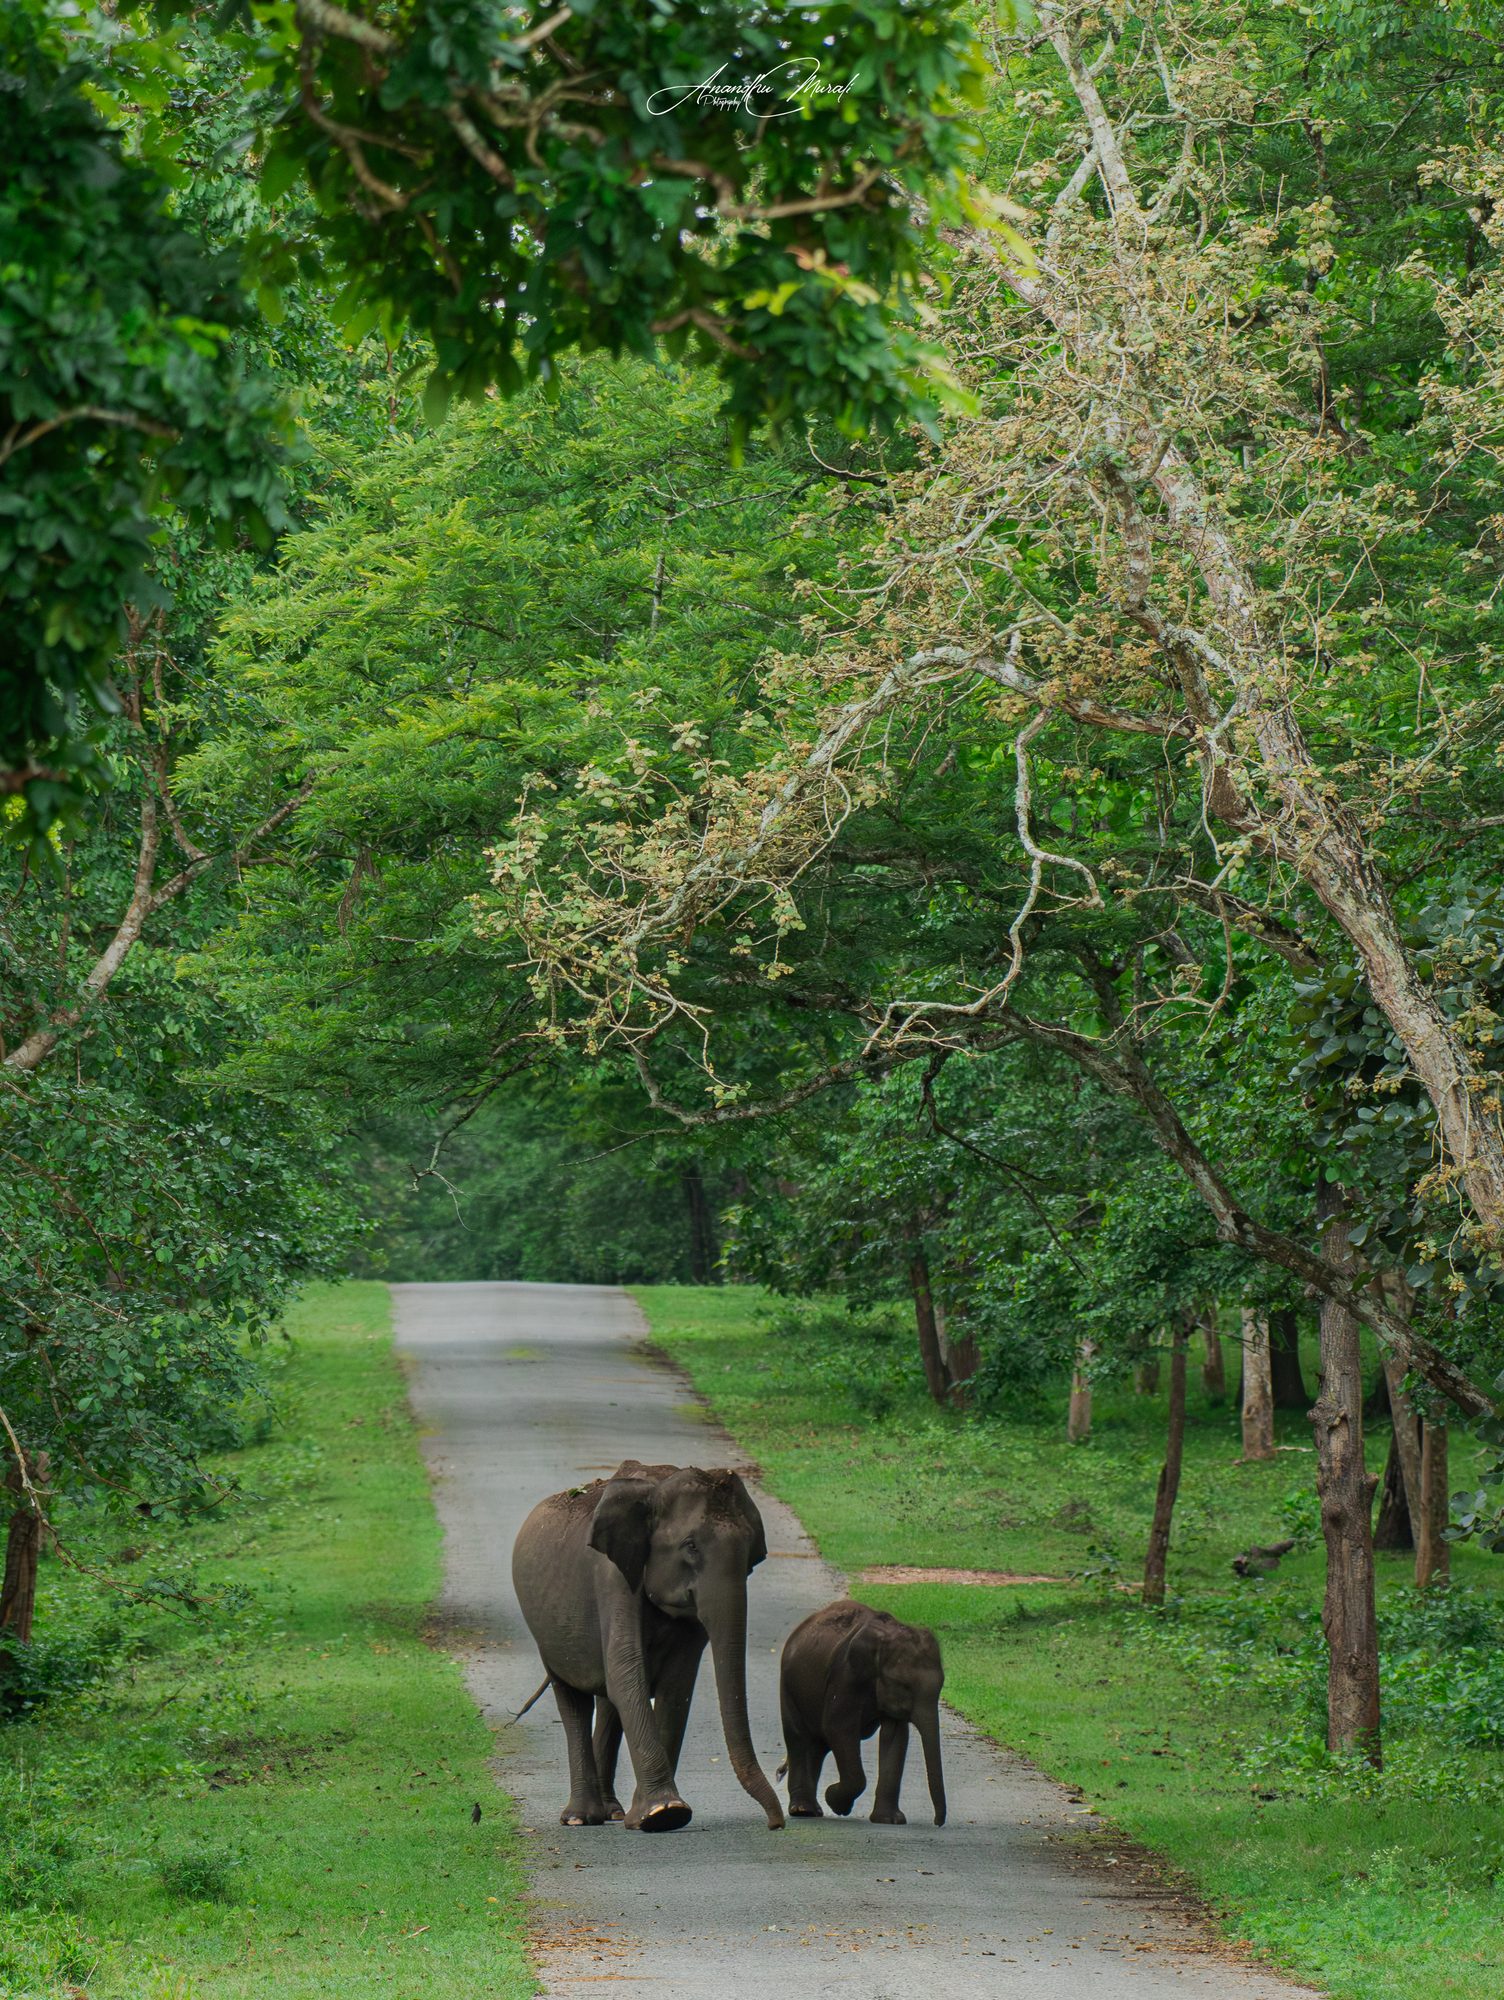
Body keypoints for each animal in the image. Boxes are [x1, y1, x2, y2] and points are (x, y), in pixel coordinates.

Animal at [511, 1458, 785, 1833]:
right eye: (690, 1545)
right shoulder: (612, 1577)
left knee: (607, 1701)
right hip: (545, 1634)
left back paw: (612, 1812)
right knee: (573, 1700)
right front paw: (664, 1812)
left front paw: (654, 1814)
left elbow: (676, 1686)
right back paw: (581, 1818)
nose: (776, 1823)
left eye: (750, 1556)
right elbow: (627, 1673)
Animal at [778, 1598, 947, 1826]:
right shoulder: (845, 1676)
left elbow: (895, 1737)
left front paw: (889, 1820)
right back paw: (803, 1810)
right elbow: (838, 1728)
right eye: (903, 1685)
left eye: (941, 1686)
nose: (937, 1822)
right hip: (789, 1687)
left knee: (816, 1746)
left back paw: (812, 1809)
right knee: (799, 1738)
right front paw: (836, 1802)